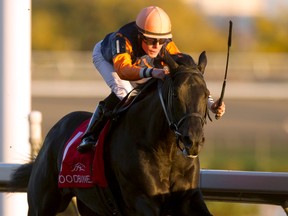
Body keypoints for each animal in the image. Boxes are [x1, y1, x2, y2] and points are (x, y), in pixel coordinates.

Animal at [8, 51, 212, 216]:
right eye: (176, 94)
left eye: (206, 94)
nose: (193, 140)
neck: (165, 151)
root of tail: (54, 130)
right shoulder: (142, 201)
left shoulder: (189, 199)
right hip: (43, 203)